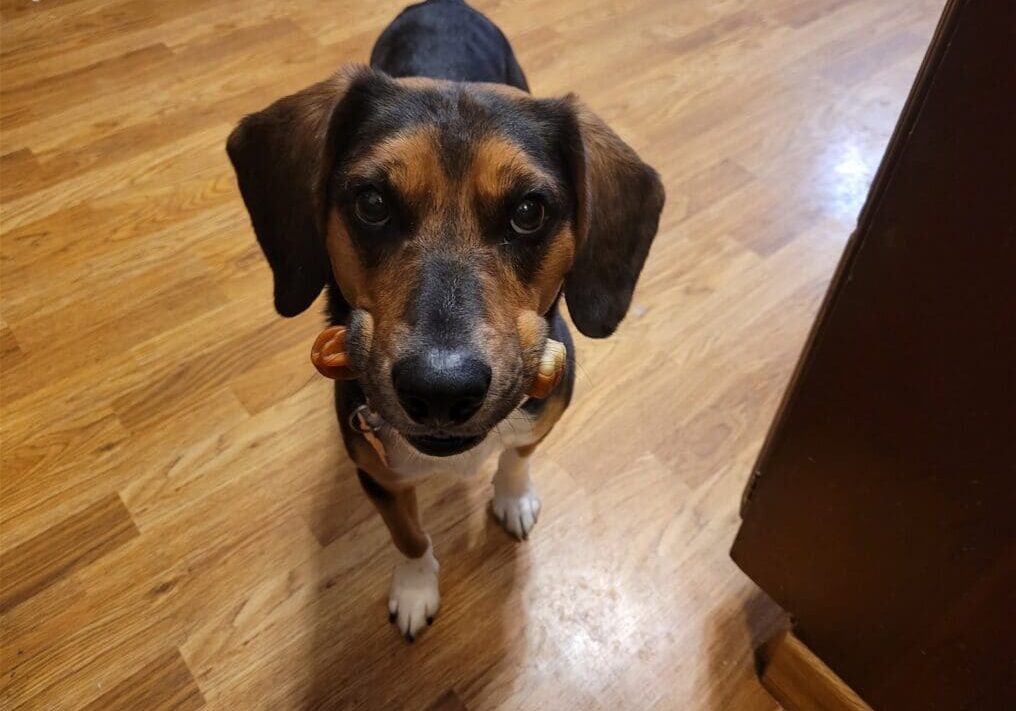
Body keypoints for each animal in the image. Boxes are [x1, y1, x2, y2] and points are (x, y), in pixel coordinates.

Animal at [226, 0, 662, 641]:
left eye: (529, 211)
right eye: (372, 203)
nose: (440, 390)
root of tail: (444, 4)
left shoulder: (547, 408)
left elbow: (518, 455)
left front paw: (512, 497)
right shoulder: (378, 476)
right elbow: (409, 537)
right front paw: (415, 589)